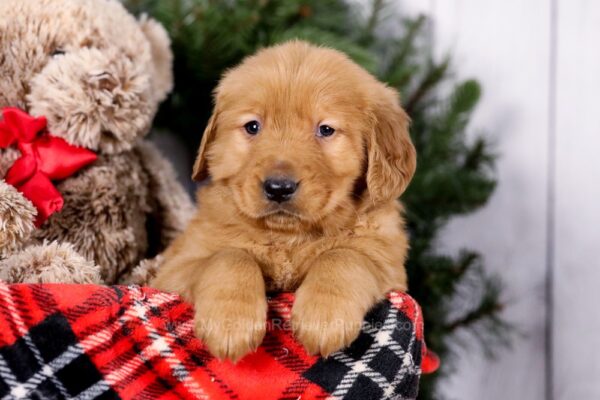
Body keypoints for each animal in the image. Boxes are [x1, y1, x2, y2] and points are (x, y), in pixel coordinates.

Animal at [154, 40, 418, 362]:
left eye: (325, 129)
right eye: (253, 126)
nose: (278, 188)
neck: (288, 237)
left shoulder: (389, 268)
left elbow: (344, 255)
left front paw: (324, 317)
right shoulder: (175, 267)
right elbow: (230, 256)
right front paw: (231, 323)